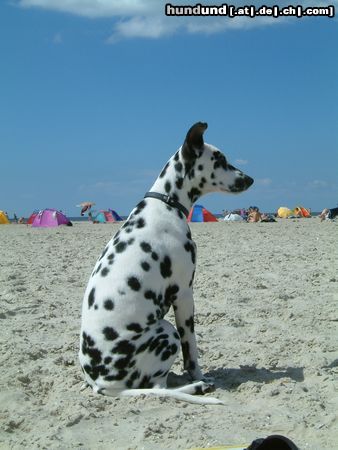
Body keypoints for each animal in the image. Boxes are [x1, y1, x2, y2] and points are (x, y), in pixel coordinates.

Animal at [80, 122, 254, 404]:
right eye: (220, 160)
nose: (249, 179)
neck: (166, 203)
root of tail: (100, 383)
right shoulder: (184, 295)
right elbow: (191, 350)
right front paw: (199, 376)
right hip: (166, 330)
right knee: (160, 388)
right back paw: (196, 387)